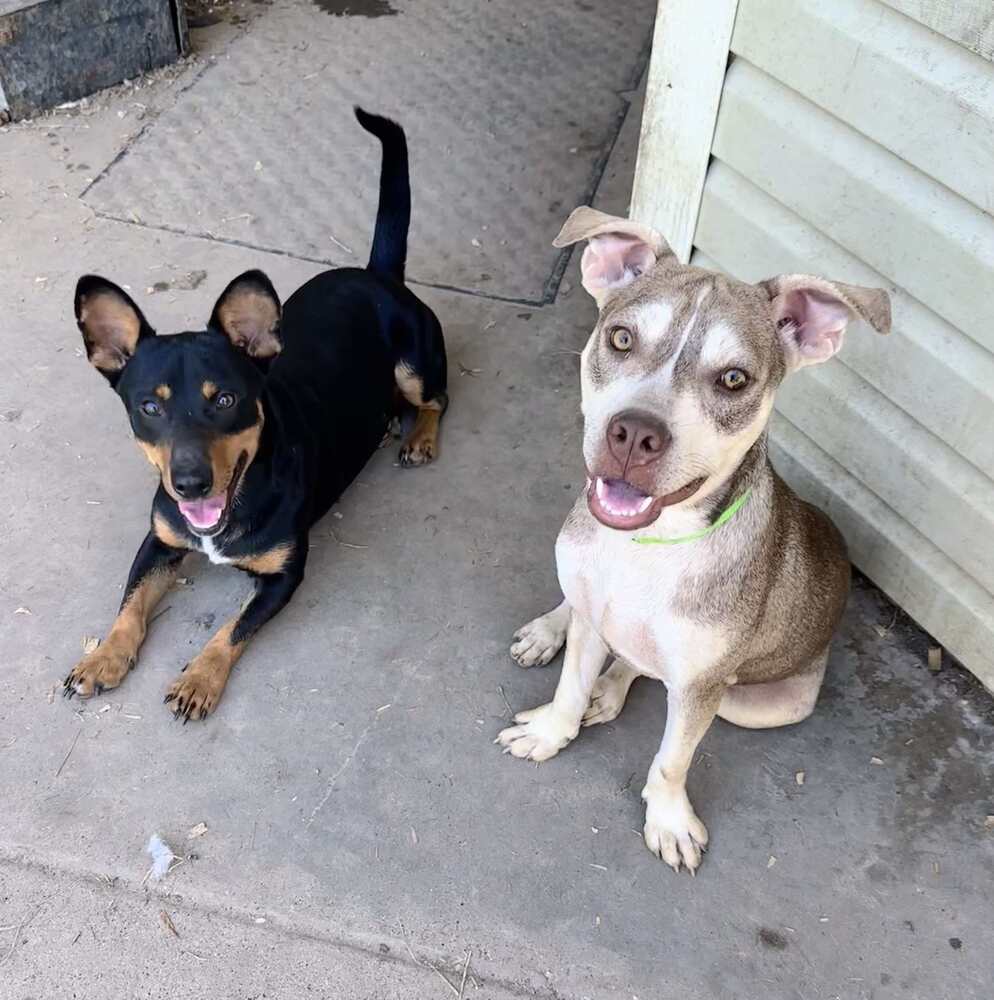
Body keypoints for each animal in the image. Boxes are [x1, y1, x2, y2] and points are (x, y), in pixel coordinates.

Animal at [64, 107, 448, 720]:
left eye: (225, 399)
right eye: (149, 406)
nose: (190, 483)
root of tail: (377, 273)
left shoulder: (284, 576)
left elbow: (232, 629)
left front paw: (199, 678)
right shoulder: (158, 542)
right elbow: (129, 603)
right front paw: (104, 657)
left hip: (415, 361)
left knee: (437, 398)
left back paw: (419, 437)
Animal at [496, 207, 892, 872]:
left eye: (733, 378)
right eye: (621, 338)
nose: (634, 434)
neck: (646, 547)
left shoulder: (703, 686)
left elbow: (672, 757)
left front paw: (669, 819)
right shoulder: (593, 617)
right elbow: (570, 684)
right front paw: (552, 730)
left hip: (756, 701)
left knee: (651, 672)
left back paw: (612, 687)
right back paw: (554, 633)